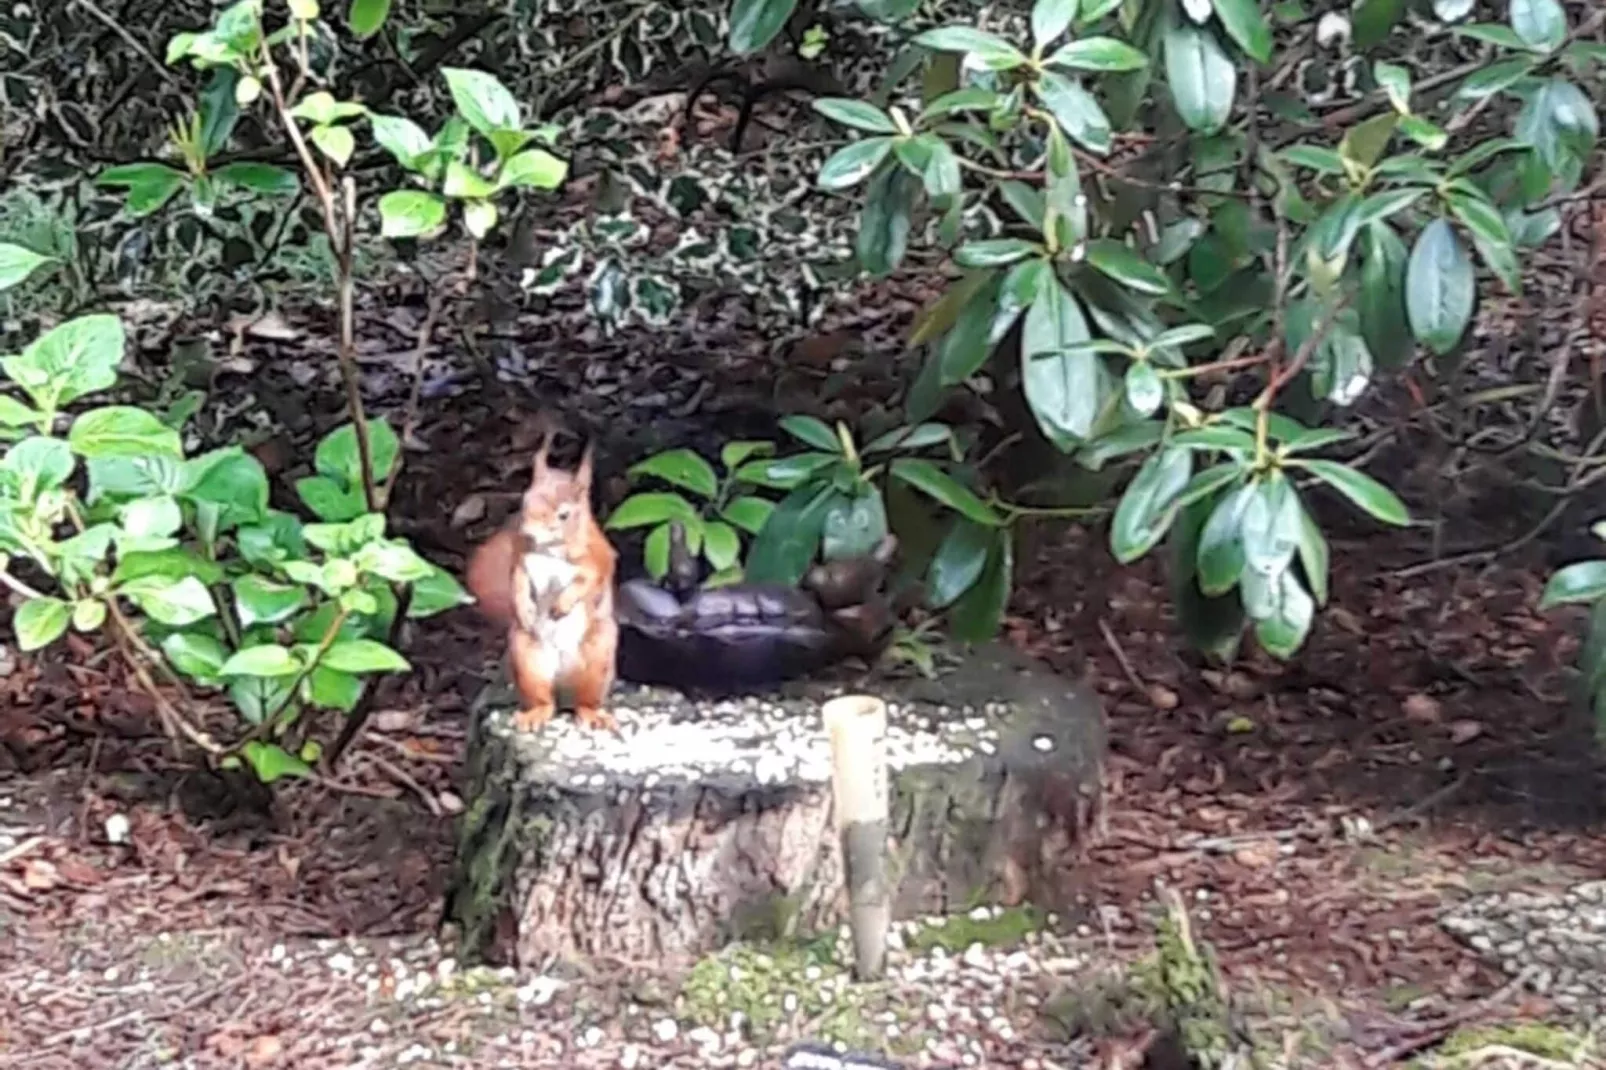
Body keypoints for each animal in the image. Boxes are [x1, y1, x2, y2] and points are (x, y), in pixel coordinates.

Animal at [465, 436, 619, 729]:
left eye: (564, 515)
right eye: (525, 501)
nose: (528, 532)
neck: (550, 548)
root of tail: (563, 687)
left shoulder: (598, 556)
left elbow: (590, 579)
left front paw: (564, 603)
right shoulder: (520, 558)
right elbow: (517, 581)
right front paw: (524, 607)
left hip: (597, 658)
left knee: (585, 701)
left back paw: (592, 714)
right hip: (527, 661)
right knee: (545, 702)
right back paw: (535, 714)